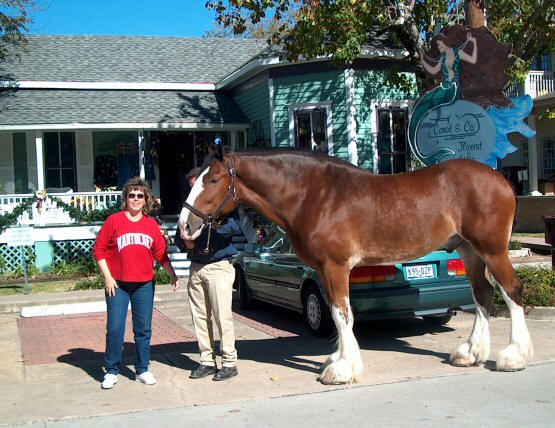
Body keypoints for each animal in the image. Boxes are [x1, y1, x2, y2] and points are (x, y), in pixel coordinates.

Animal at [178, 147, 536, 384]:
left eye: (213, 180)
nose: (184, 226)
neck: (315, 195)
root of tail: (500, 181)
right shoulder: (324, 271)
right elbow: (337, 315)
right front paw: (338, 360)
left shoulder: (336, 267)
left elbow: (341, 313)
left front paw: (343, 369)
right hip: (470, 251)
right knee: (483, 294)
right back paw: (471, 353)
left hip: (492, 250)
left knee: (511, 290)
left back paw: (514, 356)